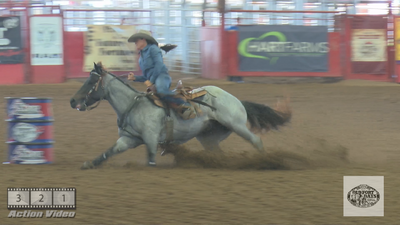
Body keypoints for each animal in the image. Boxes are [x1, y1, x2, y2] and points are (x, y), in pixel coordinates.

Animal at [69, 62, 290, 169]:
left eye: (91, 82)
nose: (72, 101)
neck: (133, 105)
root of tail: (236, 100)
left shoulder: (150, 139)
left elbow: (150, 160)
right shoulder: (128, 139)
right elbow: (109, 152)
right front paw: (89, 164)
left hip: (237, 126)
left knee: (256, 140)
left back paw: (267, 161)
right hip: (209, 138)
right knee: (218, 153)